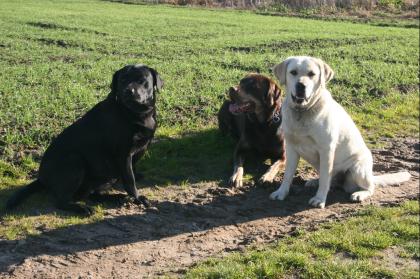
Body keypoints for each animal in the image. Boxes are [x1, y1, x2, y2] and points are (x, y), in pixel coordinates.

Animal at [6, 64, 164, 215]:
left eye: (142, 80)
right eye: (123, 80)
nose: (128, 91)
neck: (135, 113)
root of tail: (41, 178)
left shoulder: (138, 150)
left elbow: (132, 171)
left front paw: (135, 182)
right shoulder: (123, 154)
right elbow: (130, 181)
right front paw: (138, 198)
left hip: (103, 175)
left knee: (91, 194)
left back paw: (117, 197)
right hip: (75, 161)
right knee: (62, 201)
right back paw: (81, 208)